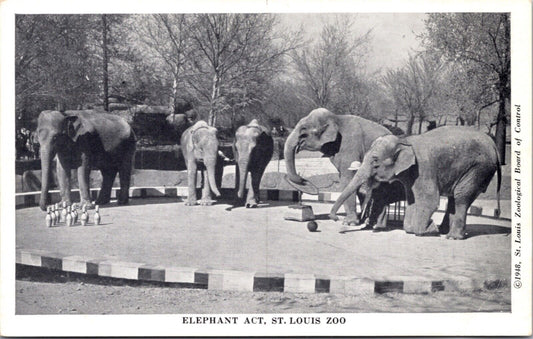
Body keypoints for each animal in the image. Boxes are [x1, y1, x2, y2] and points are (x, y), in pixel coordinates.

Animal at [328, 126, 498, 240]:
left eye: (375, 161)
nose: (336, 219)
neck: (404, 140)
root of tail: (494, 144)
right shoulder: (410, 174)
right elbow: (412, 200)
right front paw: (418, 228)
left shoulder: (423, 168)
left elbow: (429, 200)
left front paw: (428, 230)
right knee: (454, 197)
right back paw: (444, 231)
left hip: (478, 168)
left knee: (461, 196)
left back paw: (452, 236)